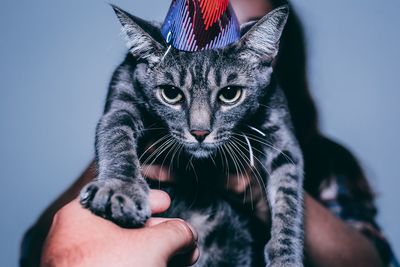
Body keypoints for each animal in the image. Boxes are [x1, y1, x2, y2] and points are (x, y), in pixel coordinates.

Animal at [79, 4, 304, 267]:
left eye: (230, 94)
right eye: (171, 93)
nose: (199, 132)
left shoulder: (282, 134)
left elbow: (288, 197)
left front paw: (286, 257)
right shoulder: (122, 98)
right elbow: (115, 135)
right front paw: (120, 189)